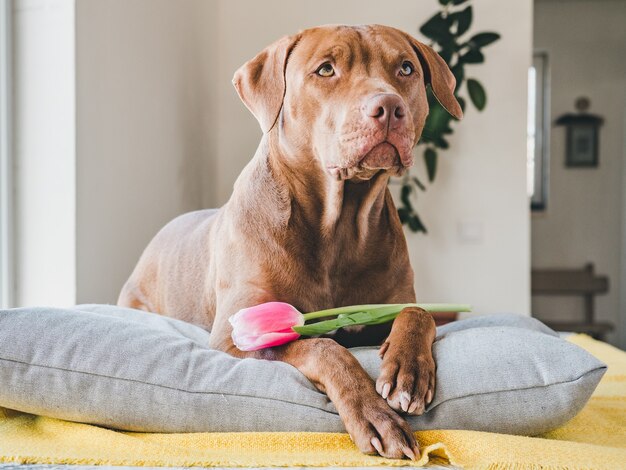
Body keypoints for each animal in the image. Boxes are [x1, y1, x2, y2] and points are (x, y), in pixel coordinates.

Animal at [118, 24, 458, 458]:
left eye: (406, 68)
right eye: (326, 69)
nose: (388, 107)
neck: (339, 225)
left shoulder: (385, 305)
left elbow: (418, 313)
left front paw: (408, 372)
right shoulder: (237, 337)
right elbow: (324, 347)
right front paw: (375, 416)